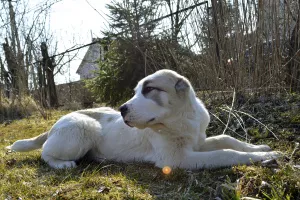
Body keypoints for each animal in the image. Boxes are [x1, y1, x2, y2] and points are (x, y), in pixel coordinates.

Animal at [6, 69, 278, 170]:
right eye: (137, 91)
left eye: (148, 90)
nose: (121, 109)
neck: (180, 119)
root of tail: (58, 121)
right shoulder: (177, 159)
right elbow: (226, 153)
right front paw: (264, 156)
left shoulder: (198, 142)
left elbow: (228, 139)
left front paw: (261, 148)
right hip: (85, 127)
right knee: (45, 152)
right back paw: (62, 164)